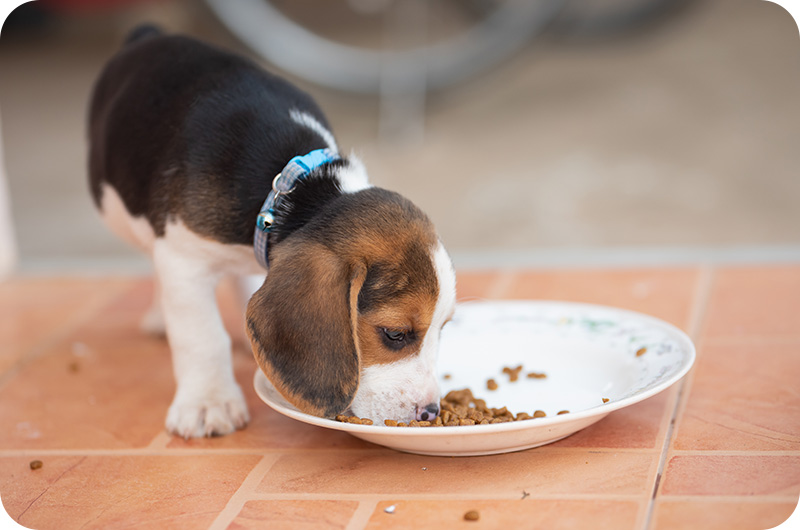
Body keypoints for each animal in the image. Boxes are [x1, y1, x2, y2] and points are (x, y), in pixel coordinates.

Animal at [87, 25, 456, 438]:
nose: (430, 413)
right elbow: (203, 337)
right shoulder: (183, 260)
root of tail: (149, 33)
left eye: (443, 328)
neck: (295, 187)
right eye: (395, 334)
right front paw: (207, 403)